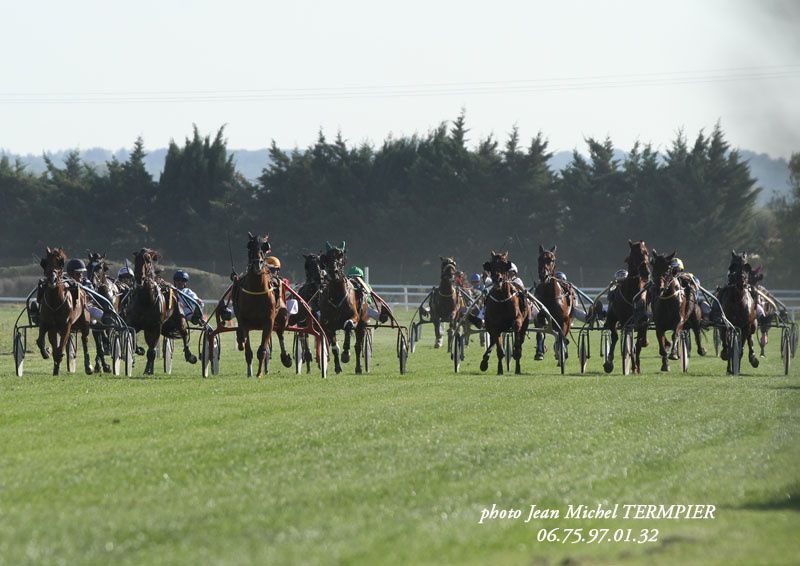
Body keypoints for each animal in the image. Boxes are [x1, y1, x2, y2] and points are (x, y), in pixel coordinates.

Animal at [35, 250, 93, 378]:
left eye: (61, 263)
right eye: (44, 263)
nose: (52, 279)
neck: (55, 301)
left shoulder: (66, 326)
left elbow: (60, 348)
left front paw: (57, 366)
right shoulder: (48, 324)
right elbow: (41, 341)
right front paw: (47, 353)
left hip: (84, 322)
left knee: (85, 340)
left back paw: (88, 367)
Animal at [230, 233, 292, 380]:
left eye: (265, 246)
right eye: (249, 245)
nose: (257, 263)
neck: (256, 290)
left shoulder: (269, 321)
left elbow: (262, 350)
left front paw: (259, 373)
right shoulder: (244, 321)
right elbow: (248, 350)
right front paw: (250, 372)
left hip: (282, 316)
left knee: (280, 333)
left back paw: (285, 358)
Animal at [318, 242, 368, 374]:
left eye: (341, 256)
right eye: (327, 258)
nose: (333, 271)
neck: (336, 295)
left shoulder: (354, 317)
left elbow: (348, 325)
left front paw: (346, 353)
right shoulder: (328, 324)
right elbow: (334, 346)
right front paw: (337, 367)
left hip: (362, 323)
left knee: (357, 345)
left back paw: (358, 368)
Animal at [604, 241, 652, 378]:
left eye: (646, 252)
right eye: (635, 254)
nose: (646, 272)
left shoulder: (643, 321)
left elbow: (640, 341)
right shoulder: (622, 321)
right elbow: (619, 338)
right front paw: (609, 363)